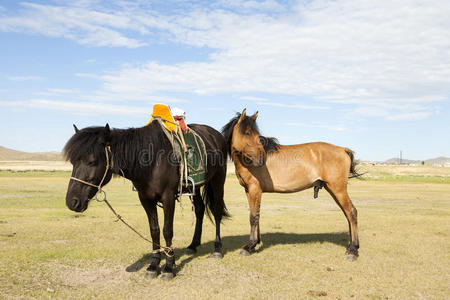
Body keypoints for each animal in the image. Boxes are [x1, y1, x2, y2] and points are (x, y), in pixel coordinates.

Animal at [63, 120, 229, 280]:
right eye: (73, 162)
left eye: (92, 161)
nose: (72, 202)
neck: (152, 161)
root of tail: (215, 134)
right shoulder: (146, 199)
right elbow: (154, 231)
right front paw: (154, 265)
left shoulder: (168, 198)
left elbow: (167, 230)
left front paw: (169, 267)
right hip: (194, 188)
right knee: (200, 210)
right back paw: (193, 245)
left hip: (218, 180)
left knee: (217, 211)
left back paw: (217, 248)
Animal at [222, 109, 362, 260]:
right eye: (247, 133)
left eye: (257, 134)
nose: (261, 158)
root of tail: (343, 149)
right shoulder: (249, 191)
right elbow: (256, 215)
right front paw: (254, 243)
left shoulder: (255, 190)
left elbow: (253, 217)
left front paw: (249, 246)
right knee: (347, 214)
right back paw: (352, 246)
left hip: (338, 189)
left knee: (351, 212)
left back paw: (353, 250)